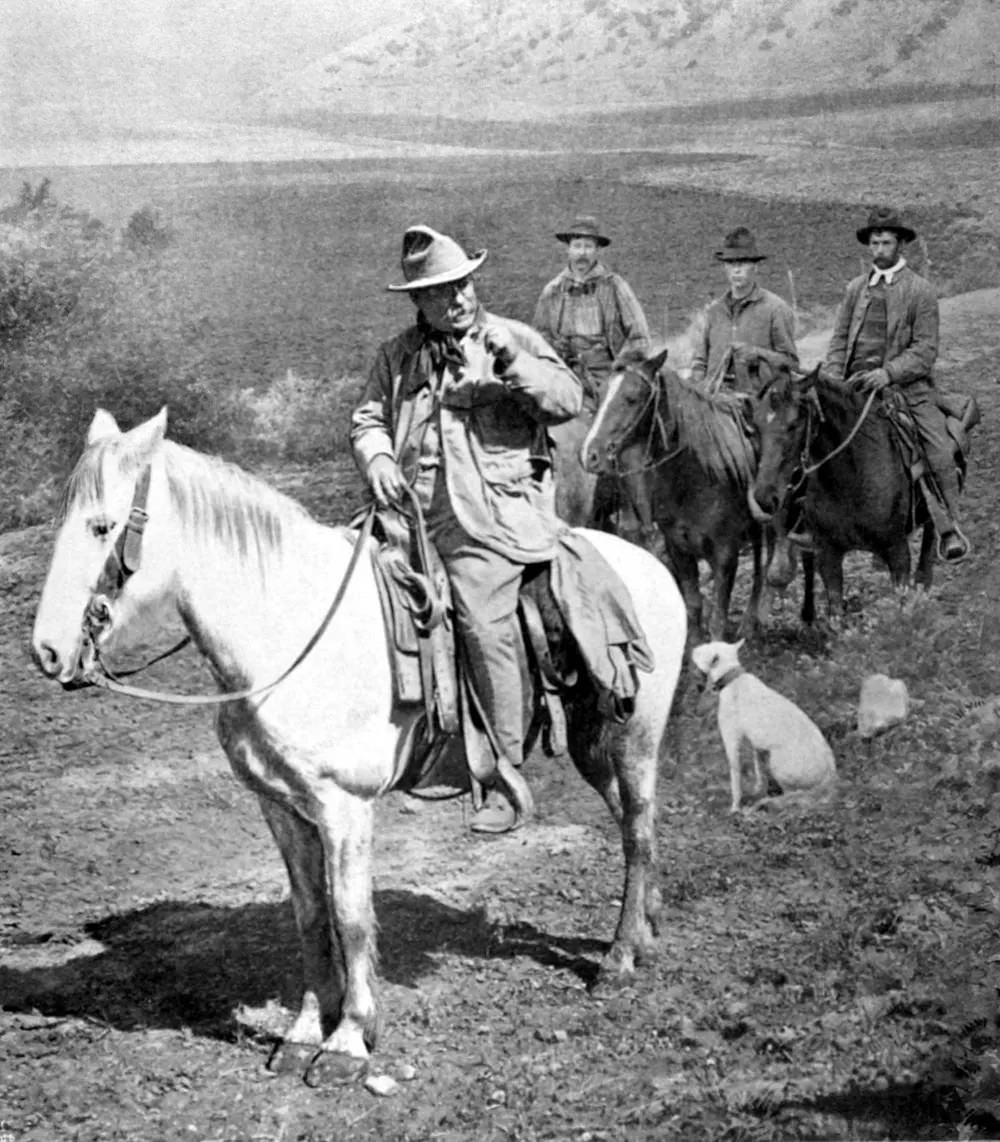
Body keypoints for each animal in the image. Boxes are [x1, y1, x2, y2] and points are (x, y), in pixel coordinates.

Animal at [31, 411, 689, 1087]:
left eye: (101, 526)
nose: (47, 650)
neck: (289, 628)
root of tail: (648, 563)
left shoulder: (344, 807)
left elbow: (349, 916)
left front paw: (349, 1040)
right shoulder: (281, 807)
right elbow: (310, 916)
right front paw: (303, 1031)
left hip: (635, 738)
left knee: (637, 829)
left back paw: (618, 959)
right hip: (593, 745)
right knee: (630, 822)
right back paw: (647, 929)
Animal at [577, 347, 767, 644]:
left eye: (631, 398)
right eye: (600, 393)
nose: (590, 454)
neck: (696, 478)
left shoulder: (725, 552)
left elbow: (718, 619)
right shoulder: (678, 547)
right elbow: (693, 604)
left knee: (763, 564)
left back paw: (751, 621)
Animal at [689, 644, 835, 813]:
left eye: (702, 649)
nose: (692, 649)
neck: (734, 678)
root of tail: (831, 778)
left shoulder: (732, 741)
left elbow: (735, 779)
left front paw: (735, 807)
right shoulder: (756, 743)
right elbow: (758, 769)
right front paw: (757, 789)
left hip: (777, 764)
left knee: (795, 795)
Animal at [748, 356, 936, 625]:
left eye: (795, 424)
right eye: (757, 425)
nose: (764, 497)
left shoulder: (897, 550)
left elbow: (902, 608)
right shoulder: (829, 554)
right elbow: (836, 611)